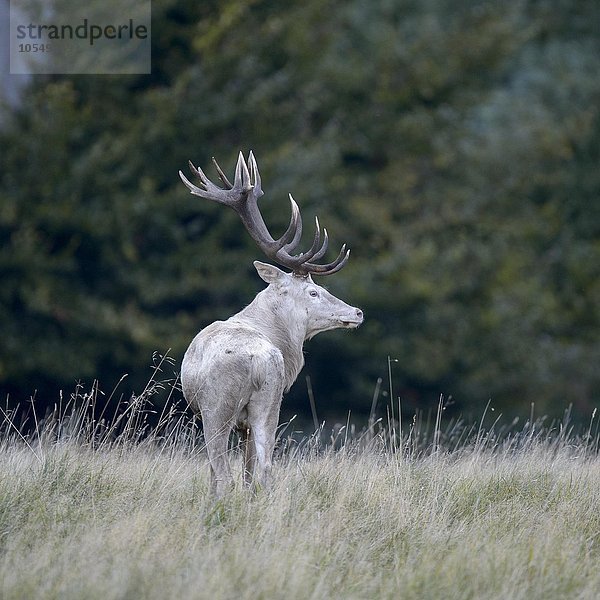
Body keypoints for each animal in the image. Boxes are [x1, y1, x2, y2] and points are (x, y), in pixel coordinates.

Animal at [178, 150, 364, 496]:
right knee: (264, 468)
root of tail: (258, 360)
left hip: (217, 408)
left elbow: (218, 473)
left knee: (222, 472)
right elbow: (250, 468)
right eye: (315, 292)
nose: (357, 312)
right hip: (268, 403)